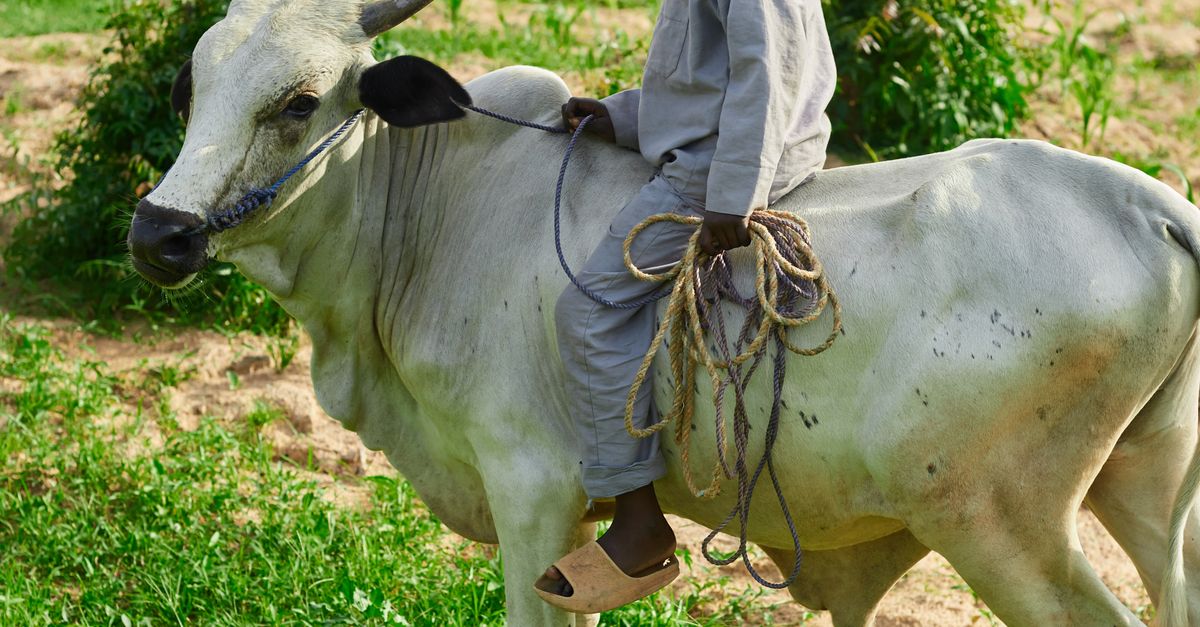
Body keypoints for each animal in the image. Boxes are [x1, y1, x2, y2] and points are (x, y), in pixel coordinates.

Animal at [126, 0, 1200, 624]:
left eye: (297, 103)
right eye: (192, 88)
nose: (157, 233)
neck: (428, 210)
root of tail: (1150, 204)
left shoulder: (533, 492)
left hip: (1001, 528)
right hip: (1142, 491)